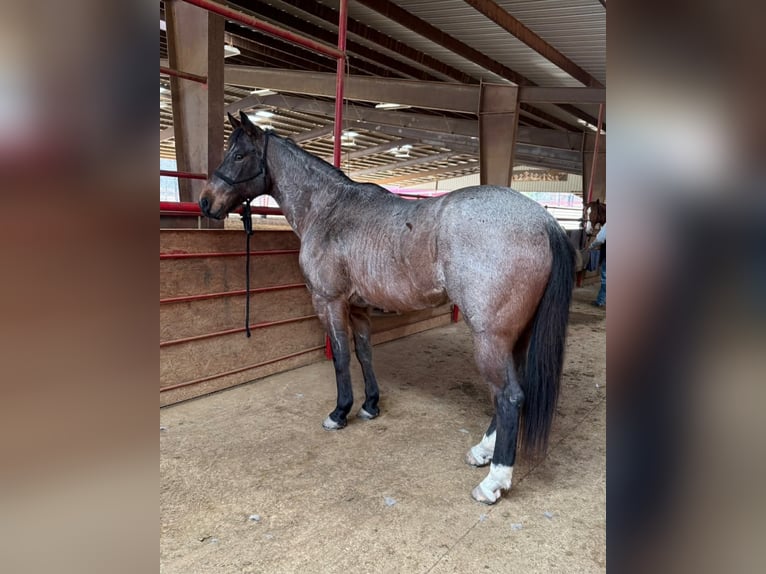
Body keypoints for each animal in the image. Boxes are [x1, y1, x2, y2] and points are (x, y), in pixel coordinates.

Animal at [199, 111, 575, 504]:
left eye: (239, 155)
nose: (206, 202)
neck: (329, 209)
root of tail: (544, 221)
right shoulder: (359, 307)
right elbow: (365, 354)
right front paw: (370, 405)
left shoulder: (329, 302)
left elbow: (341, 358)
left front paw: (340, 412)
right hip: (515, 338)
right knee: (512, 394)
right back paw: (482, 452)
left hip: (490, 338)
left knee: (509, 397)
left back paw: (493, 482)